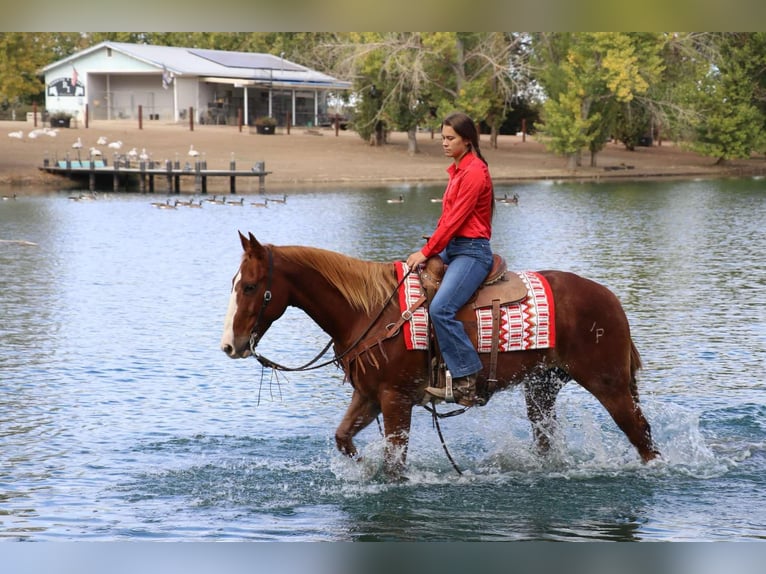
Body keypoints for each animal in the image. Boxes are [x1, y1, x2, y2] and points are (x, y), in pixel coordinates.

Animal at [220, 232, 660, 477]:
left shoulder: (395, 399)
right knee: (546, 437)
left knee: (640, 435)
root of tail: (609, 298)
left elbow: (395, 463)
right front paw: (361, 469)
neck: (369, 311)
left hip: (609, 384)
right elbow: (343, 437)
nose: (230, 344)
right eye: (235, 282)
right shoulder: (368, 396)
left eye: (250, 286)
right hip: (542, 387)